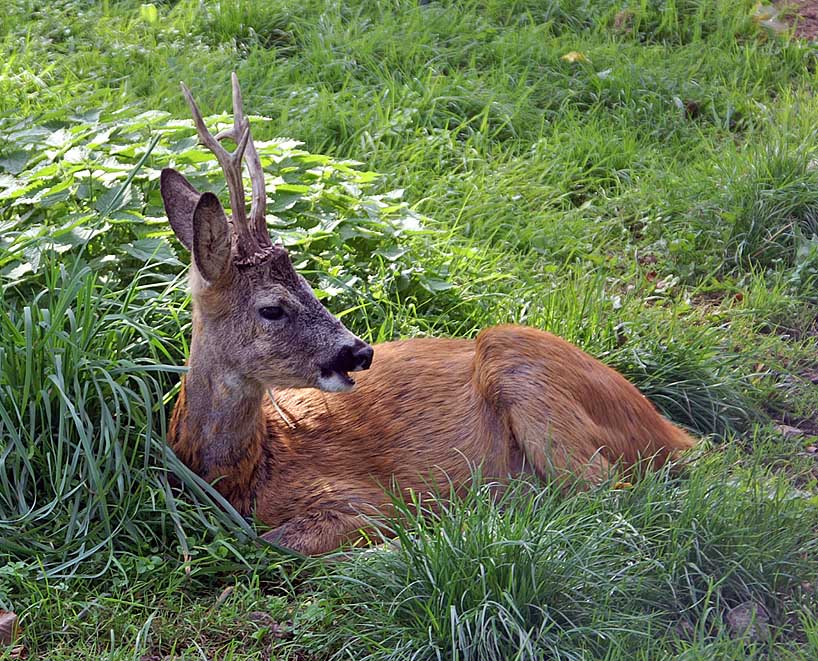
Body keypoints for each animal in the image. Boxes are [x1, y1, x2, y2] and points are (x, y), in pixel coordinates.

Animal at [161, 75, 696, 556]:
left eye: (312, 287)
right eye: (272, 308)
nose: (359, 352)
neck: (247, 471)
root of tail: (673, 435)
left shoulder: (360, 498)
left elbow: (278, 542)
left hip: (522, 367)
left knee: (609, 499)